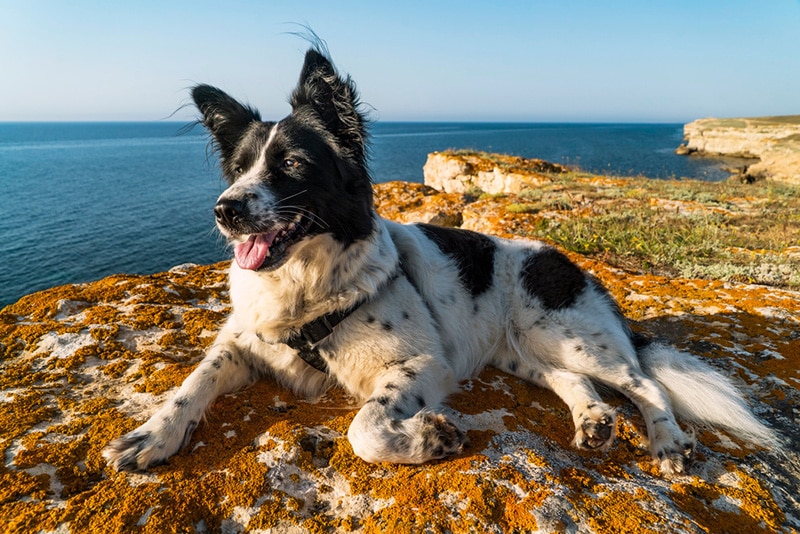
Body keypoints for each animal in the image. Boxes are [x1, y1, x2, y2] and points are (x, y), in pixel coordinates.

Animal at [103, 46, 780, 478]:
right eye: (238, 168)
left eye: (291, 164)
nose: (225, 210)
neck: (306, 287)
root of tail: (578, 269)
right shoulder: (244, 342)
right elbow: (193, 382)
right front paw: (150, 436)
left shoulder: (421, 364)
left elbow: (364, 428)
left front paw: (430, 436)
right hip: (522, 352)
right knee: (577, 381)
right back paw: (592, 420)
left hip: (563, 331)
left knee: (643, 382)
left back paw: (666, 440)